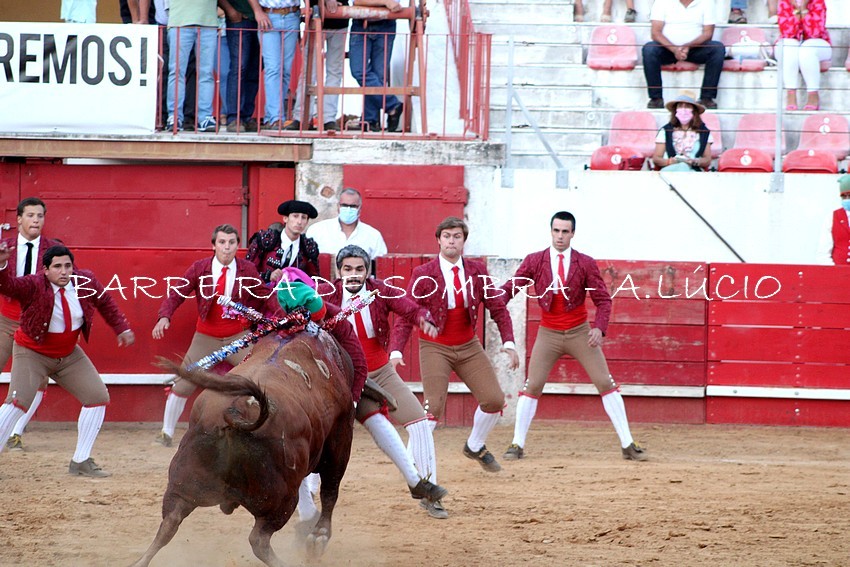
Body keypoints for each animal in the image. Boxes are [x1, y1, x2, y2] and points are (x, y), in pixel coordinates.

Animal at [131, 327, 356, 567]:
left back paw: (140, 561)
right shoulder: (340, 439)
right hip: (282, 499)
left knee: (169, 522)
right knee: (259, 538)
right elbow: (330, 491)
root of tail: (236, 414)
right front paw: (319, 536)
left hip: (184, 484)